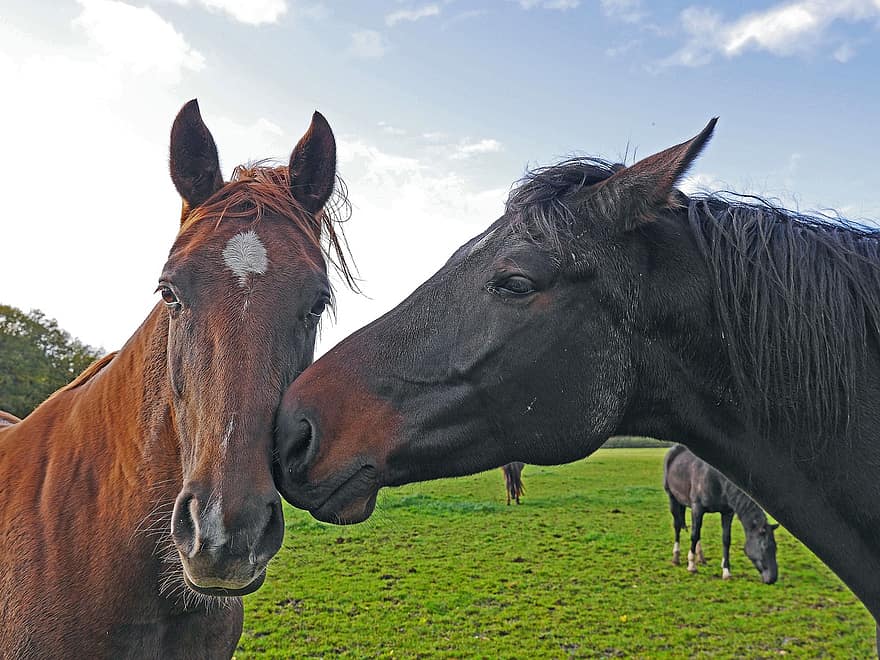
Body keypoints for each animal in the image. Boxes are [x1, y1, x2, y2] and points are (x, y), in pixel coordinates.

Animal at [664, 444, 780, 584]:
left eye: (775, 547)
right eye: (764, 547)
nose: (772, 578)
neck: (716, 478)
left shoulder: (727, 513)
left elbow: (725, 539)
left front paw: (726, 571)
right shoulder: (698, 508)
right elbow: (694, 535)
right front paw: (691, 565)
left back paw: (701, 557)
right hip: (672, 498)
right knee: (677, 526)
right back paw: (676, 557)